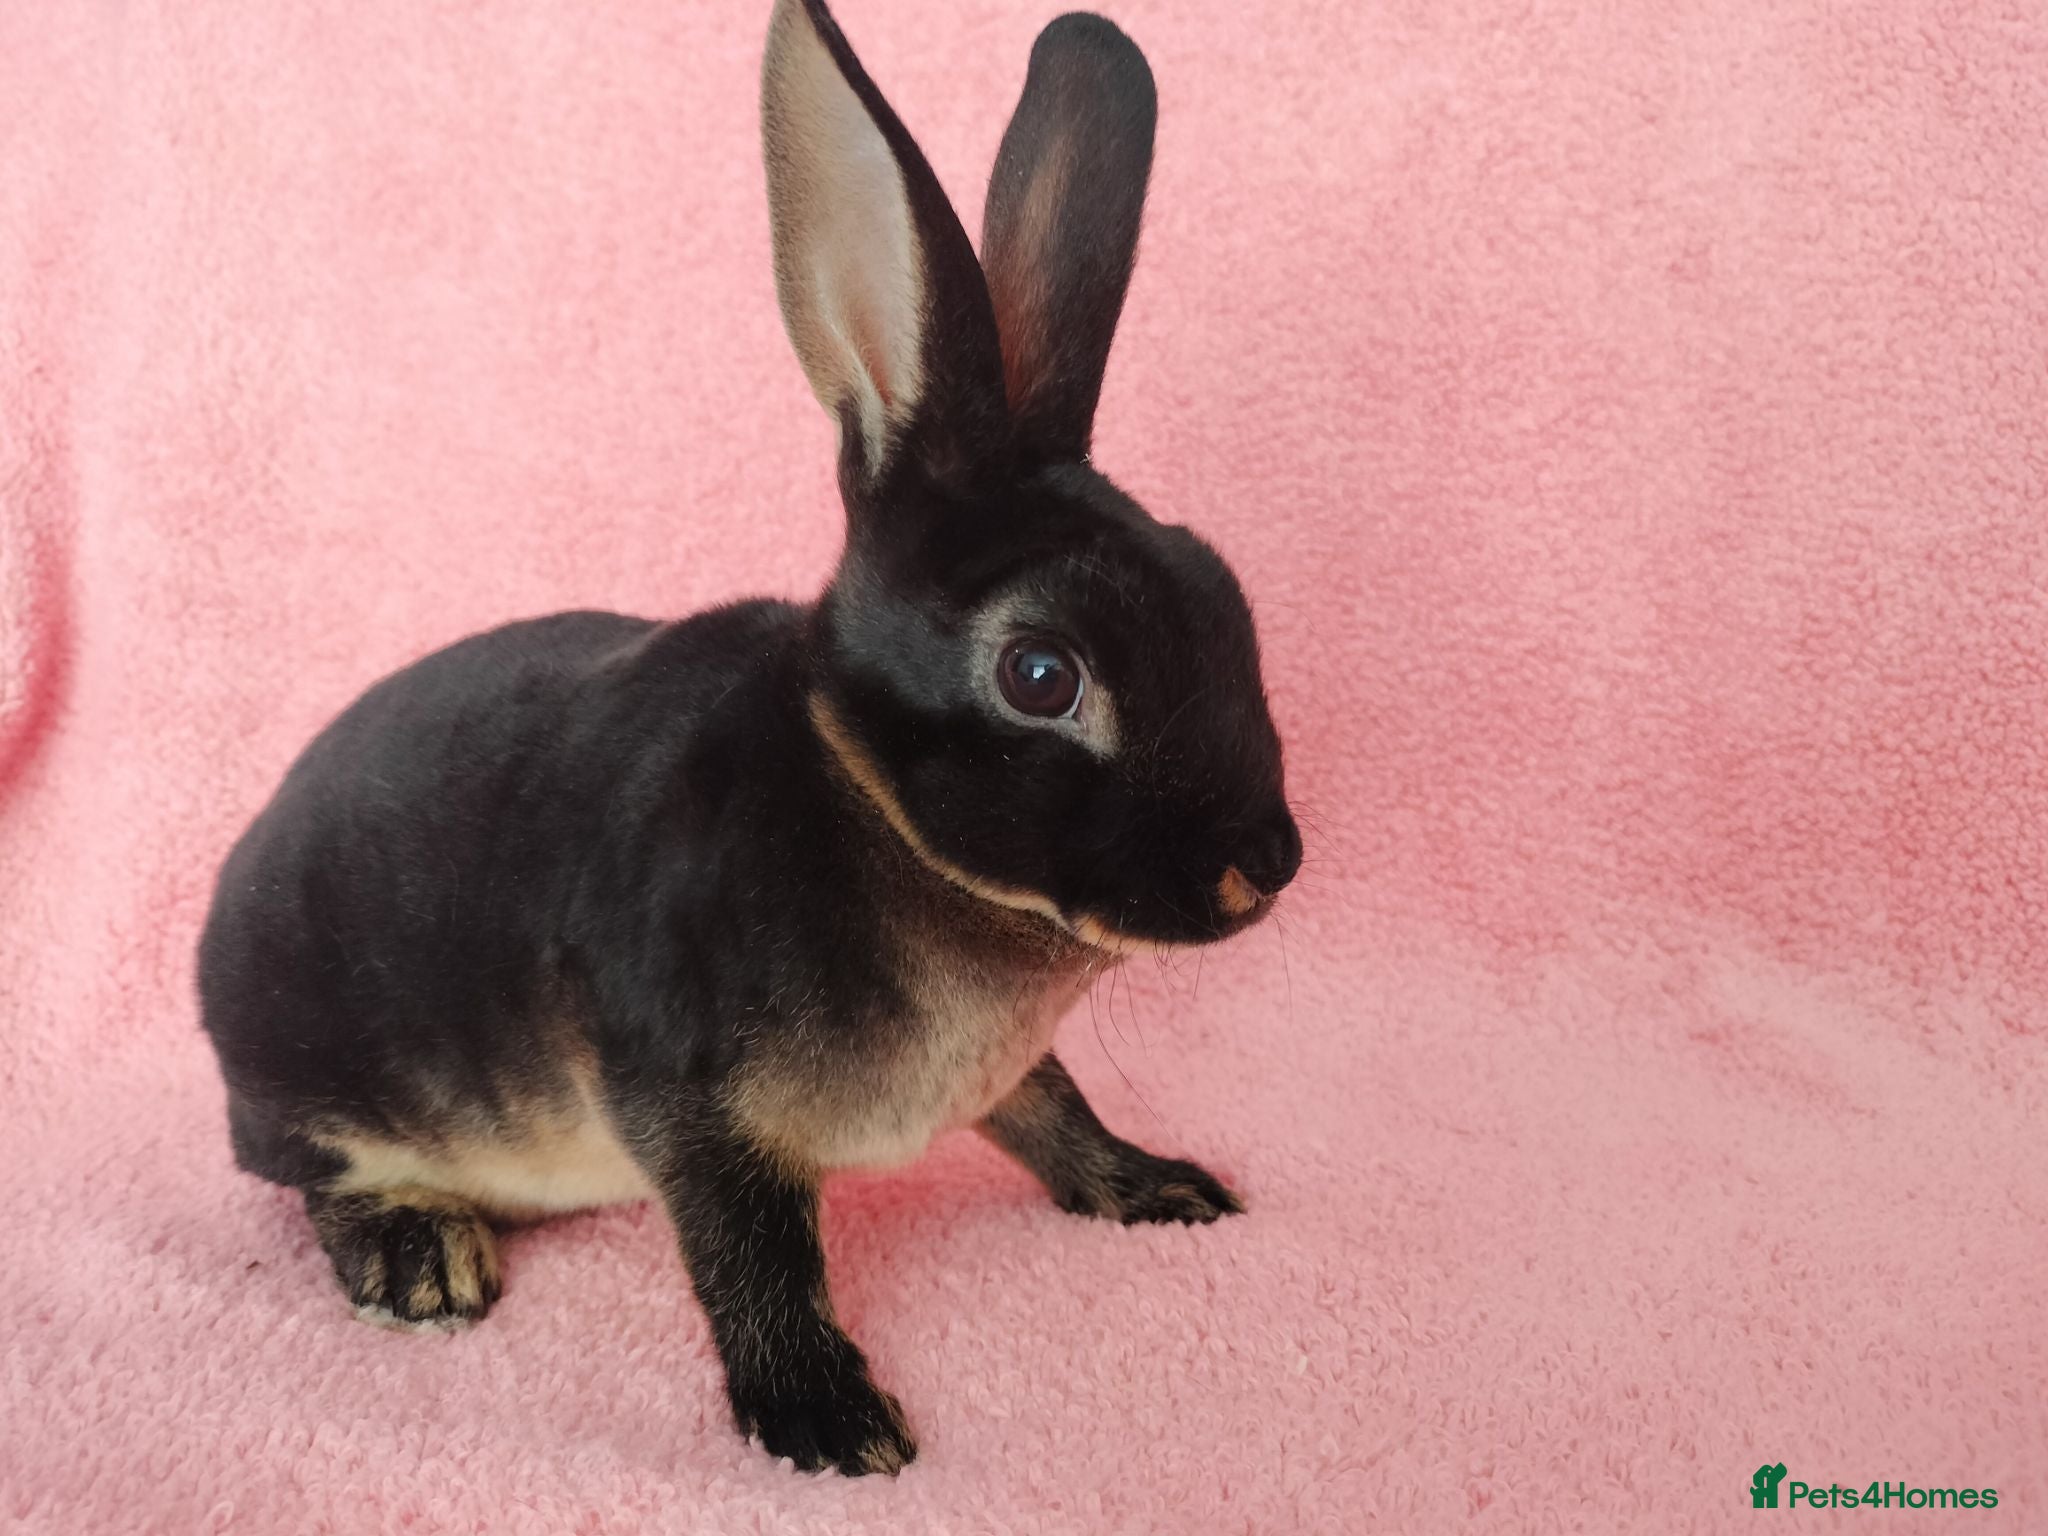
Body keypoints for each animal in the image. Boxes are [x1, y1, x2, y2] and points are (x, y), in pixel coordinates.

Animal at [198, 0, 1301, 1477]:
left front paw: (1160, 1189)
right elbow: (753, 1258)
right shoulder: (689, 1104)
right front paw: (829, 1423)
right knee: (310, 1176)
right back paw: (420, 1262)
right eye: (1040, 673)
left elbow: (1053, 1109)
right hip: (319, 1075)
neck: (874, 808)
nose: (1267, 865)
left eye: (1223, 591)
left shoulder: (1005, 1075)